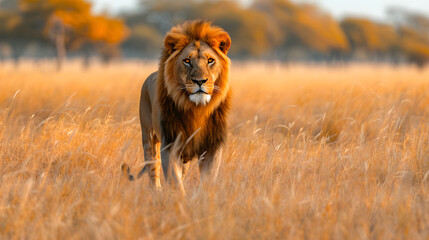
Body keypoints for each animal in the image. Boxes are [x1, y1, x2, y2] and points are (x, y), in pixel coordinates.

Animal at [121, 19, 231, 192]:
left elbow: (207, 180)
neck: (196, 109)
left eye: (210, 60)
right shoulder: (170, 145)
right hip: (148, 137)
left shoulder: (212, 146)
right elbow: (175, 182)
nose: (200, 81)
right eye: (187, 61)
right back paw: (156, 191)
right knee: (153, 169)